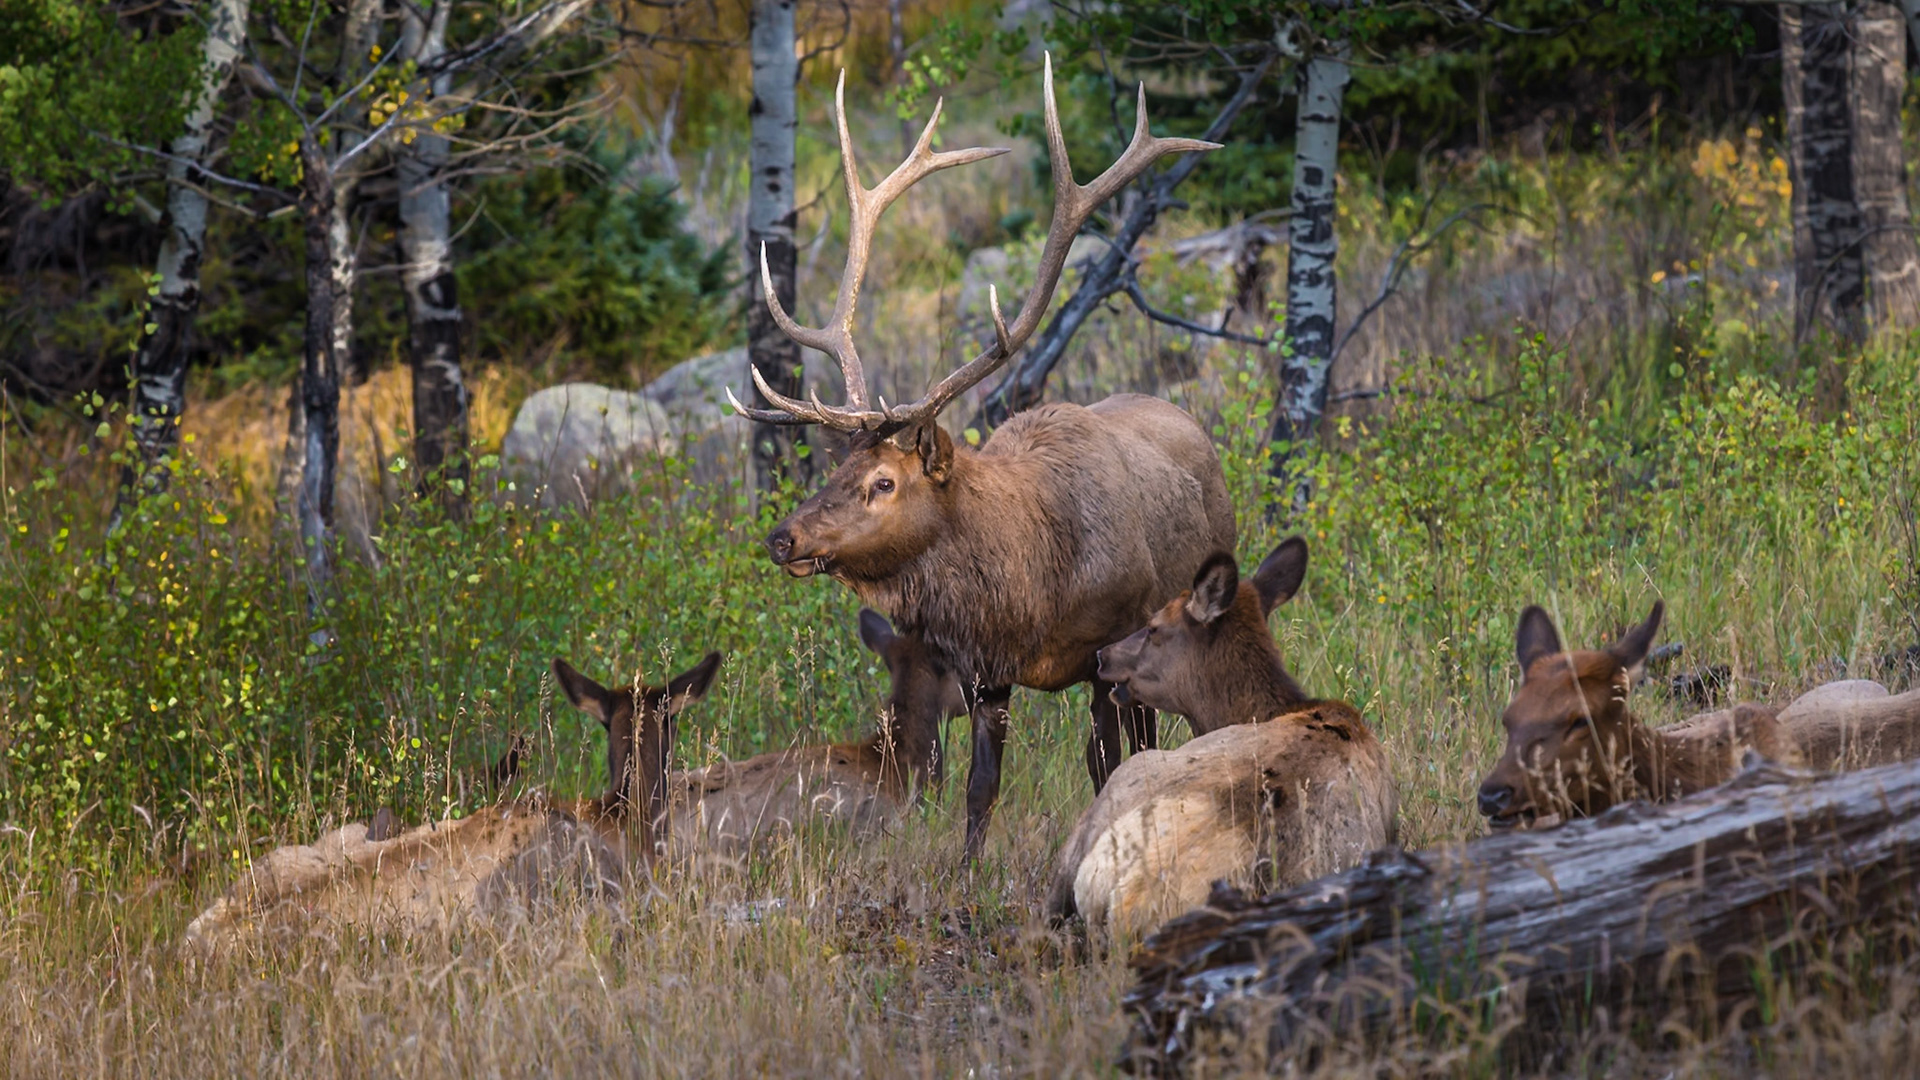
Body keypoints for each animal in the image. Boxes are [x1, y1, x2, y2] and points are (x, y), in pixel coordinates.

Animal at [727, 57, 1235, 861]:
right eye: (835, 471)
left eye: (883, 481)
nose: (783, 537)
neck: (1031, 595)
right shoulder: (982, 674)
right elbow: (980, 788)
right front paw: (966, 872)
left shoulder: (1111, 648)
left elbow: (1105, 764)